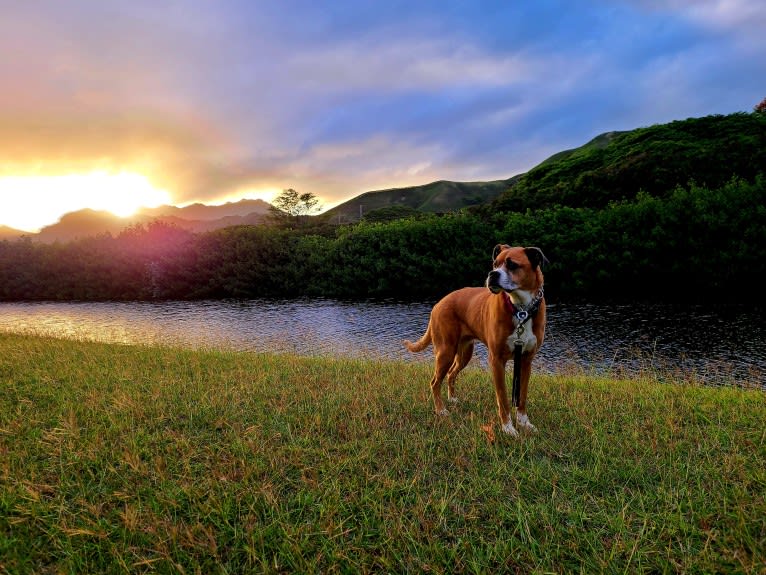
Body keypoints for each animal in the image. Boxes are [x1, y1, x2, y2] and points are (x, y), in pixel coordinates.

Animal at [404, 245, 548, 438]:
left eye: (512, 264)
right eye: (495, 264)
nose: (492, 274)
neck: (521, 309)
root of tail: (439, 303)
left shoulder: (526, 361)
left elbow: (522, 396)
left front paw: (524, 423)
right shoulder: (497, 361)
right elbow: (503, 398)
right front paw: (508, 428)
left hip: (464, 353)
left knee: (451, 374)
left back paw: (452, 399)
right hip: (445, 352)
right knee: (435, 382)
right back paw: (441, 410)